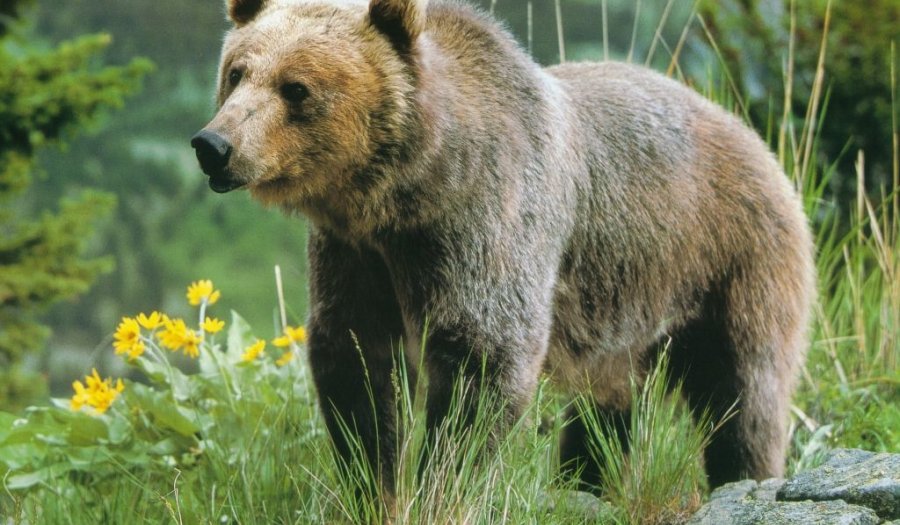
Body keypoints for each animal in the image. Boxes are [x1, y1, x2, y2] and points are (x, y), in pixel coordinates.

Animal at [191, 0, 816, 498]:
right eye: (237, 72)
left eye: (295, 87)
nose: (214, 145)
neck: (413, 186)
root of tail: (755, 137)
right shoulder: (357, 254)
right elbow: (357, 360)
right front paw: (373, 479)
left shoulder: (489, 223)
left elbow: (484, 355)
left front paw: (442, 480)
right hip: (626, 308)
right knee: (606, 401)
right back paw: (584, 481)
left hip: (729, 258)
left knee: (743, 390)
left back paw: (745, 473)